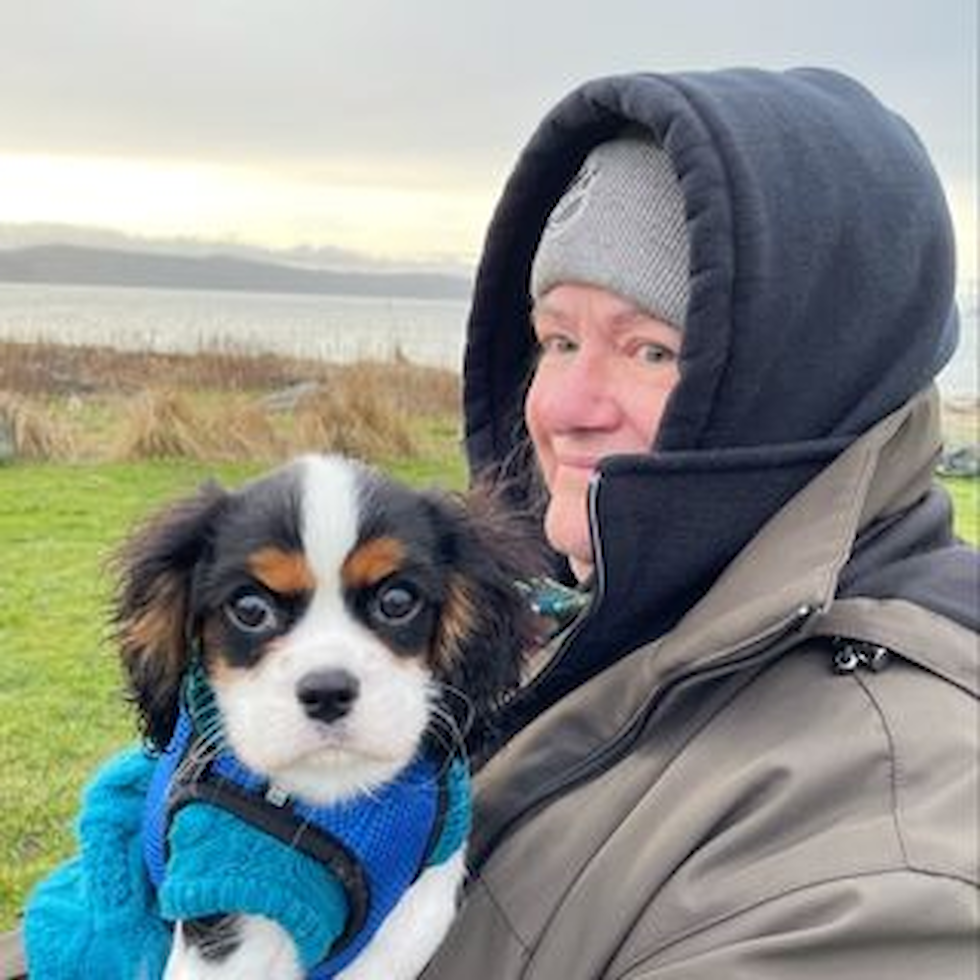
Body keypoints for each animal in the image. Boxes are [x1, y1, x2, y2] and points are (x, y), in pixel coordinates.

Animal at [115, 458, 544, 980]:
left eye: (397, 602)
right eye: (250, 609)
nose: (327, 692)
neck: (335, 791)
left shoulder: (422, 900)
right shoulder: (226, 907)